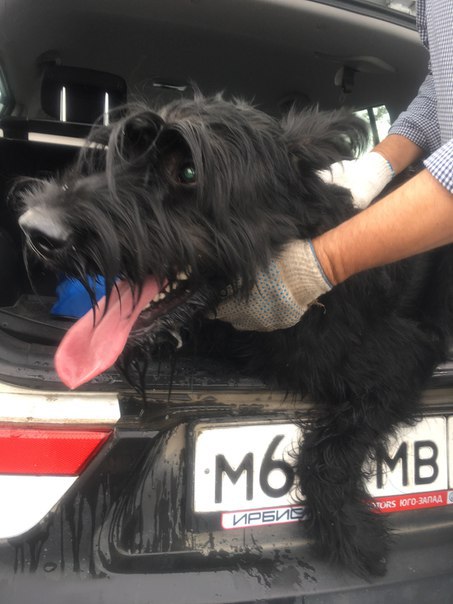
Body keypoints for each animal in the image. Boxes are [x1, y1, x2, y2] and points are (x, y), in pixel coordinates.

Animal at [16, 94, 453, 575]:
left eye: (188, 172)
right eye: (118, 155)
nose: (35, 229)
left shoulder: (402, 358)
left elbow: (327, 451)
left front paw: (352, 533)